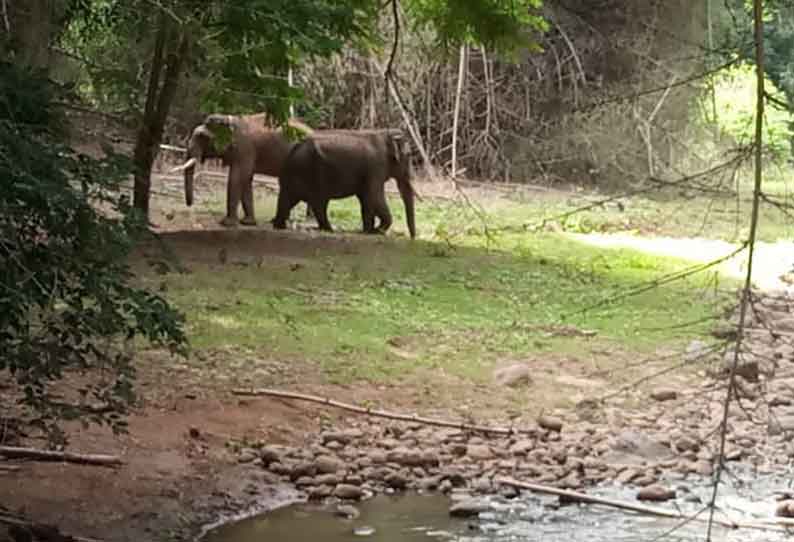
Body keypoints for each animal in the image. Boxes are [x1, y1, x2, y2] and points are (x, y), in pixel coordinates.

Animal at [171, 113, 313, 227]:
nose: (190, 205)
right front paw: (248, 222)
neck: (228, 119)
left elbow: (237, 177)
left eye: (202, 136)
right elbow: (246, 180)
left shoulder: (245, 149)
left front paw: (227, 224)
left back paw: (307, 222)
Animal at [271, 129, 417, 239]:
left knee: (288, 199)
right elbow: (374, 195)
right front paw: (376, 231)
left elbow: (366, 198)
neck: (386, 134)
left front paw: (368, 230)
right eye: (409, 155)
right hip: (309, 172)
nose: (413, 238)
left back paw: (279, 225)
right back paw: (329, 230)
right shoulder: (376, 167)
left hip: (295, 174)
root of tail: (294, 149)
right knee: (319, 203)